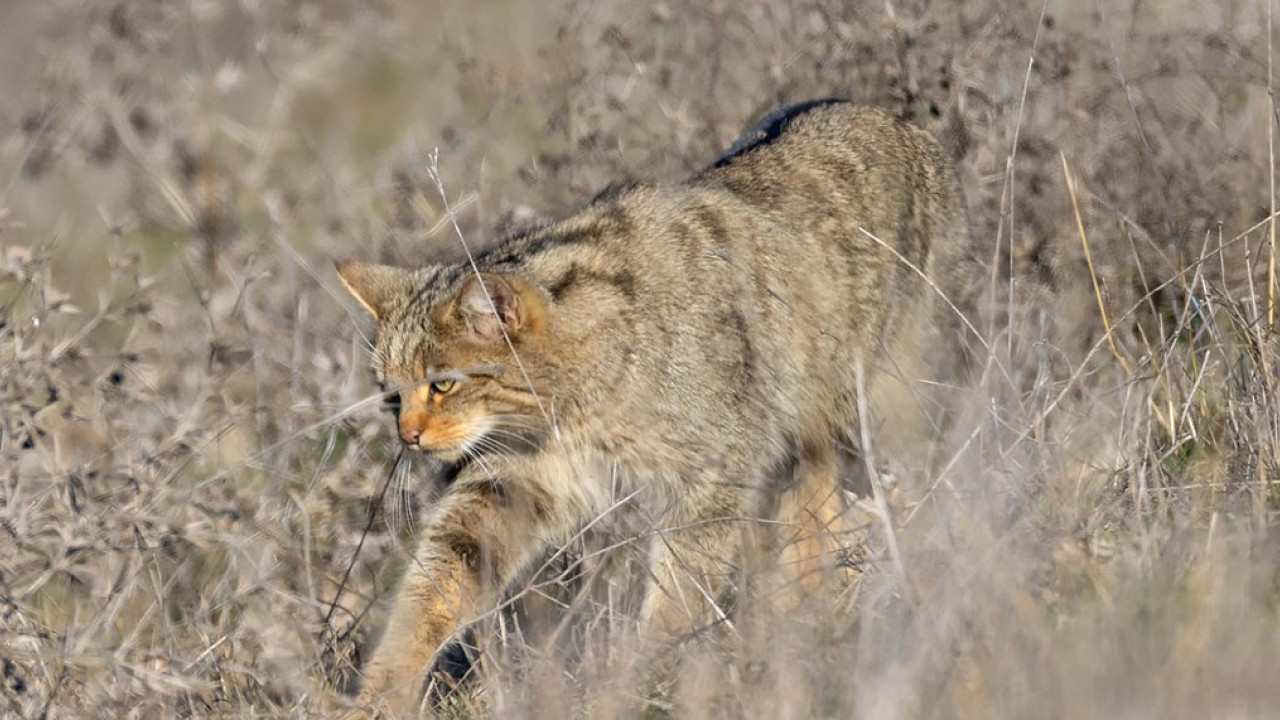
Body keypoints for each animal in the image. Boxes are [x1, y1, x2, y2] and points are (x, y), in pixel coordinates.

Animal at [335, 101, 972, 712]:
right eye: (391, 393)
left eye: (443, 385)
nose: (408, 436)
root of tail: (898, 122)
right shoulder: (508, 484)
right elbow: (437, 584)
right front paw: (379, 694)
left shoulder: (712, 476)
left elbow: (677, 596)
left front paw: (645, 677)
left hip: (891, 405)